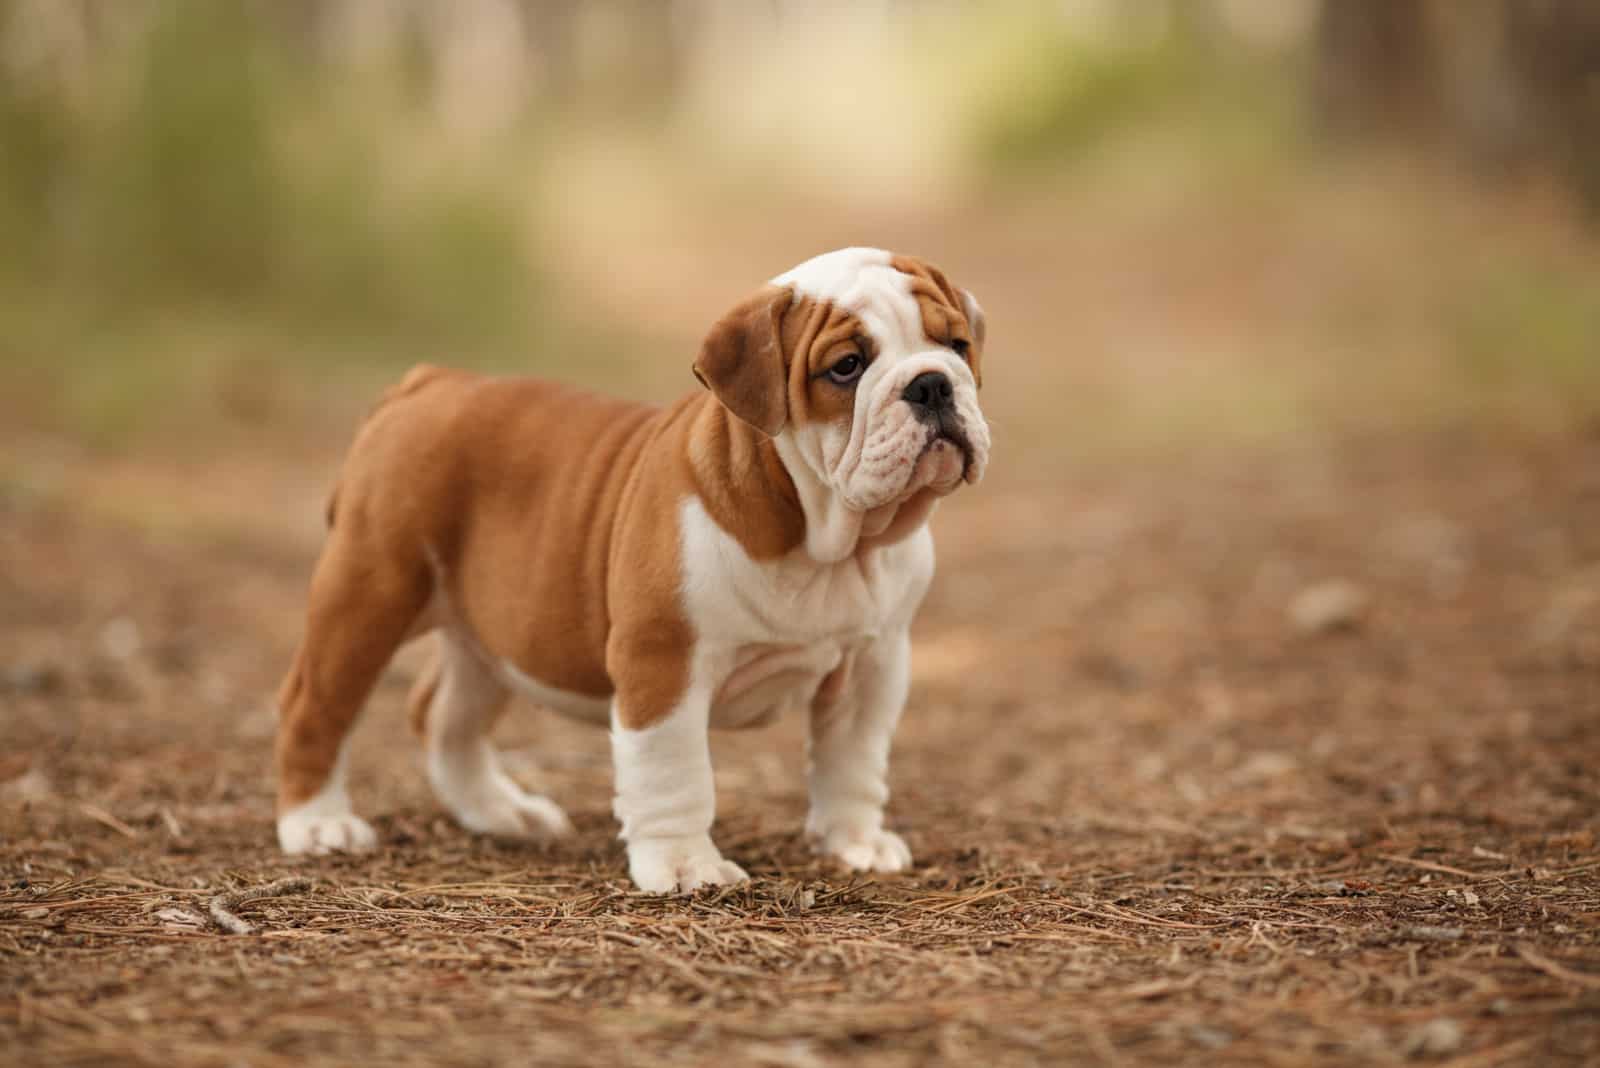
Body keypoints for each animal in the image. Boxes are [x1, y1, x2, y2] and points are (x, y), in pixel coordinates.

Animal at [281, 246, 992, 888]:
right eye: (846, 367)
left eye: (956, 344)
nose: (931, 382)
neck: (829, 541)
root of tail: (429, 382)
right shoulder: (664, 662)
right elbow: (675, 773)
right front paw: (685, 867)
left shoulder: (873, 666)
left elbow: (854, 762)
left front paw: (856, 844)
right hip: (369, 594)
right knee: (314, 705)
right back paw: (318, 824)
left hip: (489, 635)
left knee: (444, 715)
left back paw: (503, 813)